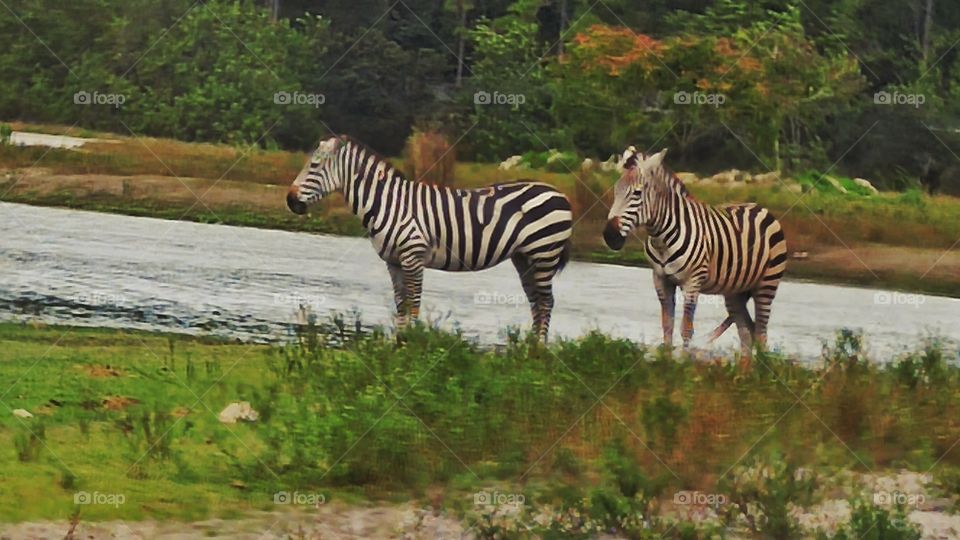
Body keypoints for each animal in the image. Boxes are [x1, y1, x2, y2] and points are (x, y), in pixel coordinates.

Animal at [287, 135, 574, 341]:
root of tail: (560, 193)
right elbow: (401, 304)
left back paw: (538, 351)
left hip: (544, 252)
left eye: (314, 165)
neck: (388, 204)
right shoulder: (393, 262)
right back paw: (527, 349)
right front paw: (399, 343)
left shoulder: (413, 255)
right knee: (536, 301)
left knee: (546, 302)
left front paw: (411, 344)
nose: (290, 201)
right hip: (524, 258)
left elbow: (413, 302)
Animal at [602, 147, 787, 366]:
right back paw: (744, 372)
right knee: (746, 331)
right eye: (615, 191)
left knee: (761, 332)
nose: (610, 236)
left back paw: (761, 371)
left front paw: (683, 364)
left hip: (767, 284)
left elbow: (686, 328)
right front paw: (665, 361)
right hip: (735, 292)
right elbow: (667, 324)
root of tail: (761, 207)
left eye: (637, 193)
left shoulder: (692, 282)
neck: (661, 238)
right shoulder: (661, 280)